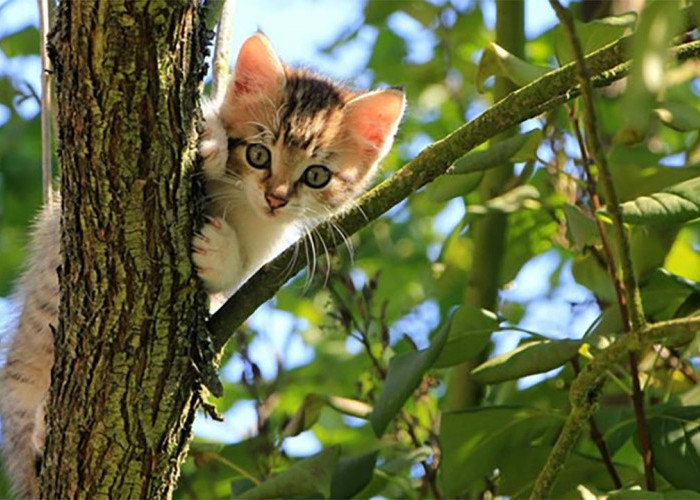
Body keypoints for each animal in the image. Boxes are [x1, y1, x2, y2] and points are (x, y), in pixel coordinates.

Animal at [0, 33, 404, 498]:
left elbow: (240, 273)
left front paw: (219, 252)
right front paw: (211, 141)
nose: (276, 198)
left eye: (316, 175)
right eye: (259, 154)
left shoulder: (264, 251)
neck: (241, 204)